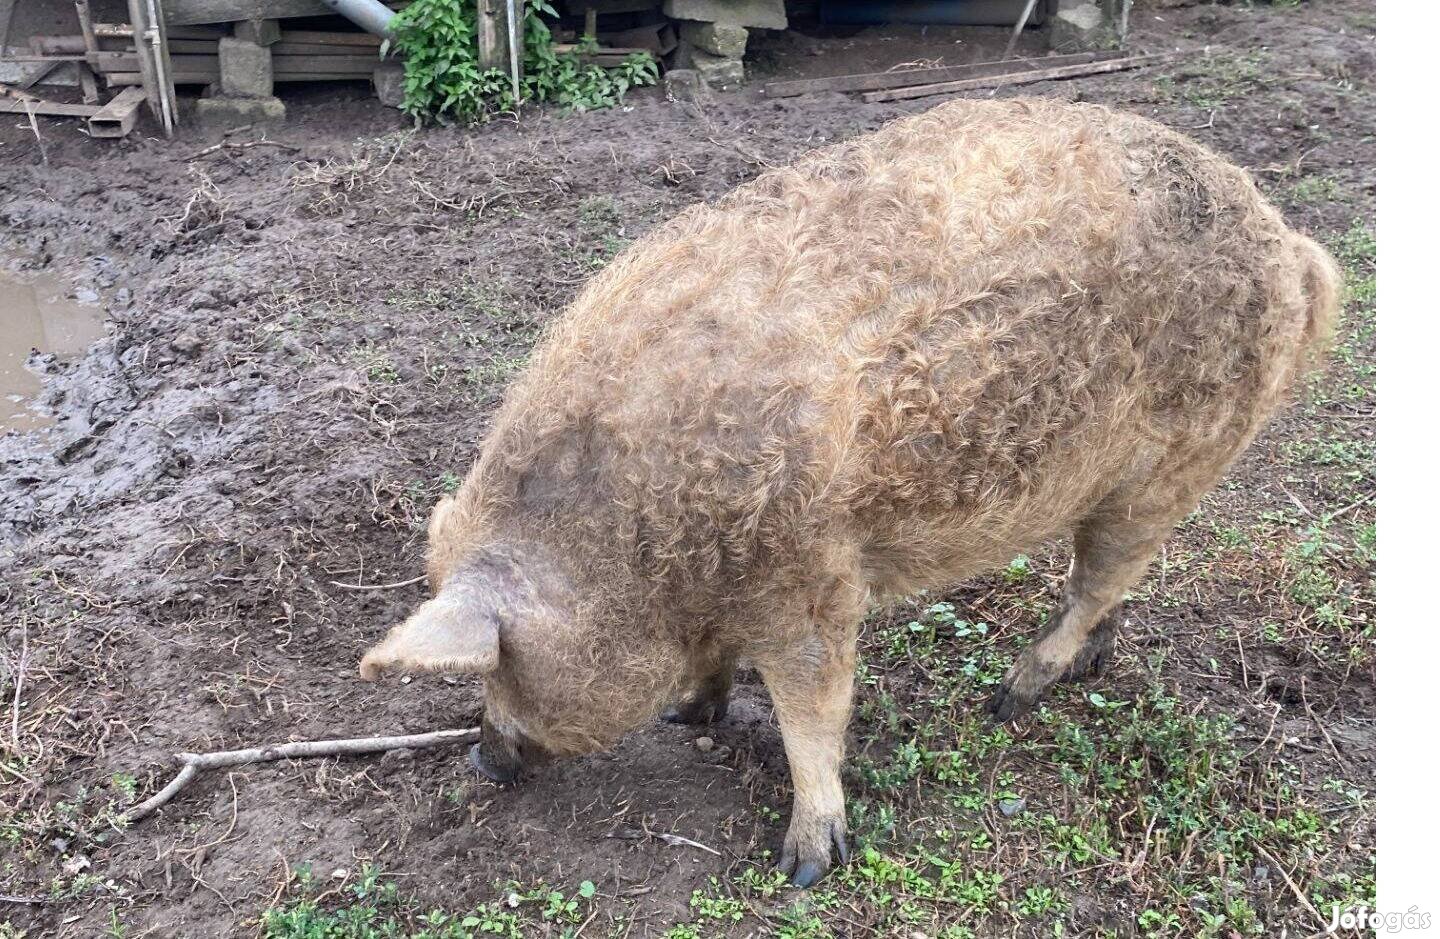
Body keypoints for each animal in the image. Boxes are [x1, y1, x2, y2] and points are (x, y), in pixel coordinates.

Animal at [357, 97, 1336, 887]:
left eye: (500, 664)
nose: (481, 761)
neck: (637, 547)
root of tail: (1289, 242)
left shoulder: (814, 578)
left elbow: (813, 711)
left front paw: (803, 868)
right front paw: (685, 712)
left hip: (1175, 461)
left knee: (1097, 580)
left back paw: (1010, 694)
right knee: (1112, 583)